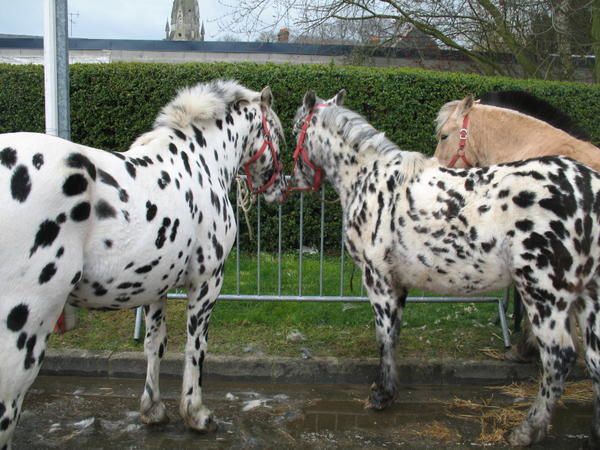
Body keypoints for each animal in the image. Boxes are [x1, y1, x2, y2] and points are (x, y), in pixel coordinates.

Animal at [0, 80, 286, 446]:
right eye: (276, 132)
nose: (281, 188)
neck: (200, 162)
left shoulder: (154, 286)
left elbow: (155, 343)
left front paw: (153, 410)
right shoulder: (207, 282)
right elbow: (196, 345)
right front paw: (197, 414)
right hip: (24, 333)